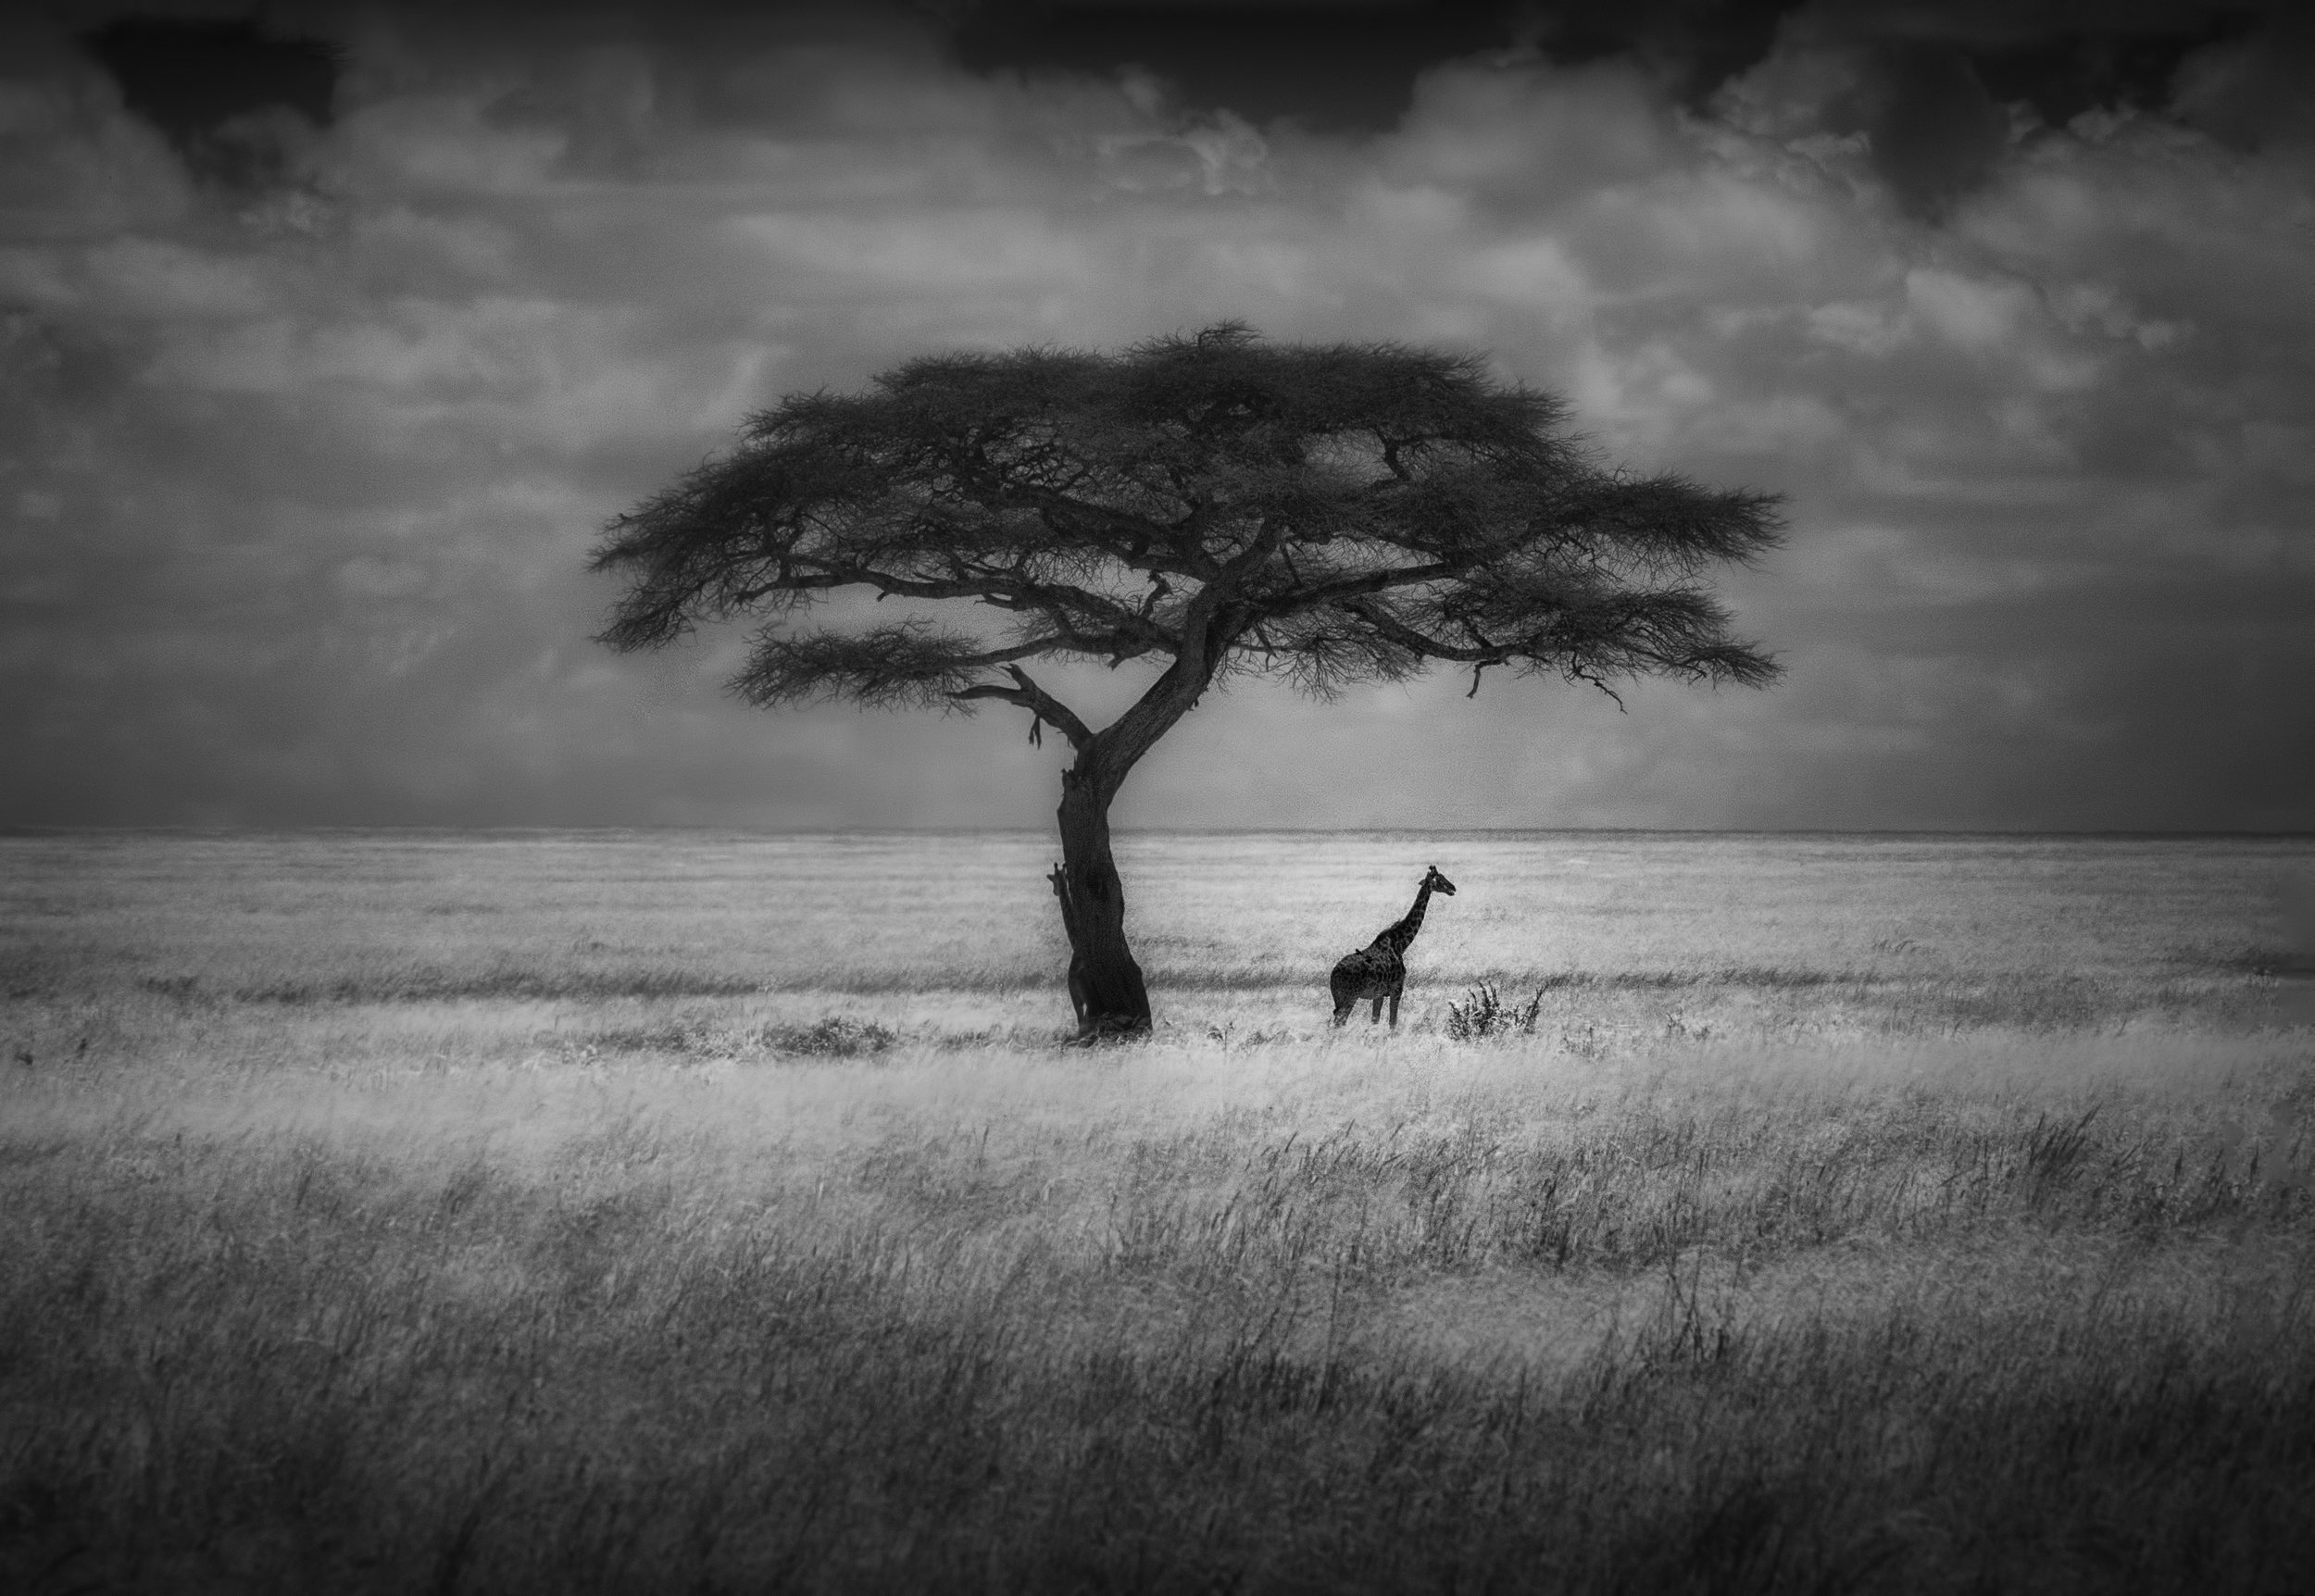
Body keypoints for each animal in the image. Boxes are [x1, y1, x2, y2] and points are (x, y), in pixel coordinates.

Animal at [1330, 865, 1456, 1027]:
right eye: (1440, 879)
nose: (1453, 888)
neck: (1400, 944)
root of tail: (1333, 974)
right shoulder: (1397, 989)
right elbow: (1393, 1022)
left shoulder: (1379, 994)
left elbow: (1375, 1020)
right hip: (1350, 997)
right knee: (1339, 1022)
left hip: (1339, 998)